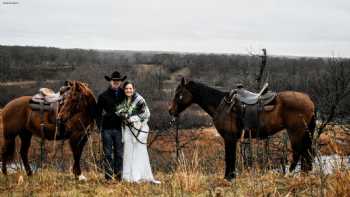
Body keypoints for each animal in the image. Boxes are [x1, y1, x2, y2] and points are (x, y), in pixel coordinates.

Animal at [170, 78, 318, 180]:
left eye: (179, 94)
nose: (170, 111)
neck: (220, 105)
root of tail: (309, 100)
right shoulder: (232, 138)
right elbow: (230, 157)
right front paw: (230, 177)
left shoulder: (229, 138)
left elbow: (229, 157)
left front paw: (229, 177)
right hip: (305, 133)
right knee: (306, 153)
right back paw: (304, 174)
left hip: (296, 132)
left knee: (298, 153)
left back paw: (289, 174)